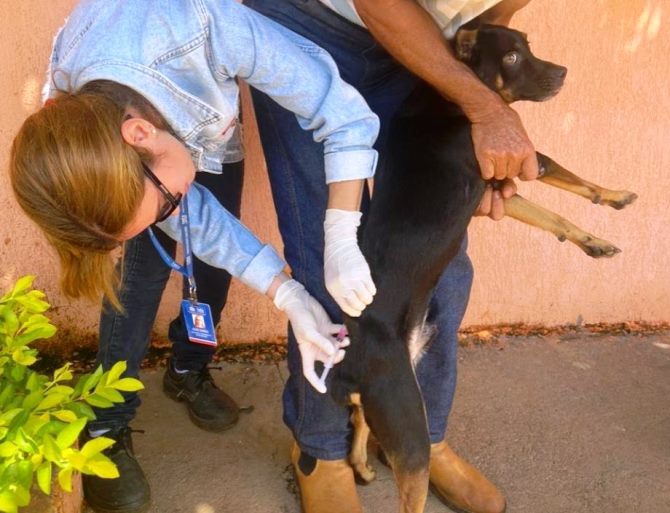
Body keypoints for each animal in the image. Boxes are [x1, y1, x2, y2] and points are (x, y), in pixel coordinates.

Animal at [330, 22, 640, 510]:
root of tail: (350, 361)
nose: (563, 72)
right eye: (511, 57)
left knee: (361, 420)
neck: (455, 93)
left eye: (529, 44)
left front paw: (593, 241)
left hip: (389, 397)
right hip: (410, 432)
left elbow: (555, 217)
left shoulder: (503, 189)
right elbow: (570, 181)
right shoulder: (522, 161)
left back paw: (360, 465)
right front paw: (613, 202)